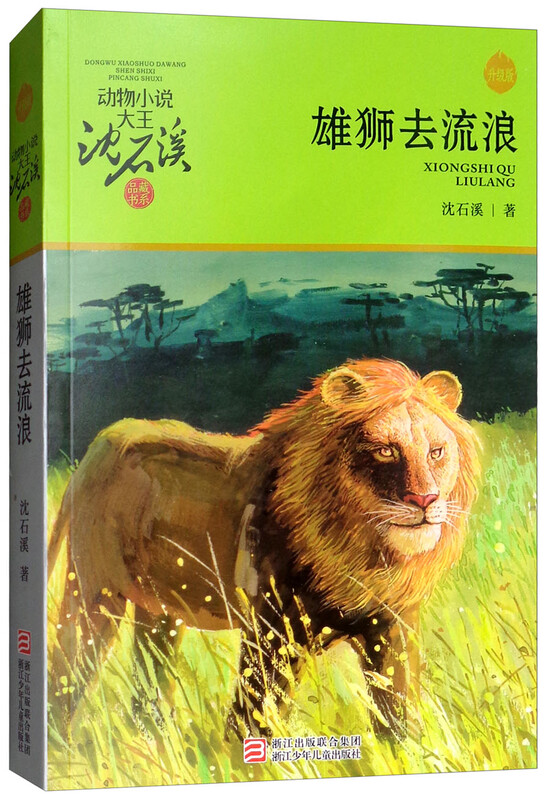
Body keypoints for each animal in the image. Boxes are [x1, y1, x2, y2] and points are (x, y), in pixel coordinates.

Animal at [49, 358, 479, 736]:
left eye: (436, 452)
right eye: (386, 450)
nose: (425, 500)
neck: (363, 550)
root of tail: (96, 448)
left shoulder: (393, 634)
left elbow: (399, 722)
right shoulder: (271, 634)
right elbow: (252, 719)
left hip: (159, 616)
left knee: (148, 689)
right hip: (94, 596)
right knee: (65, 677)